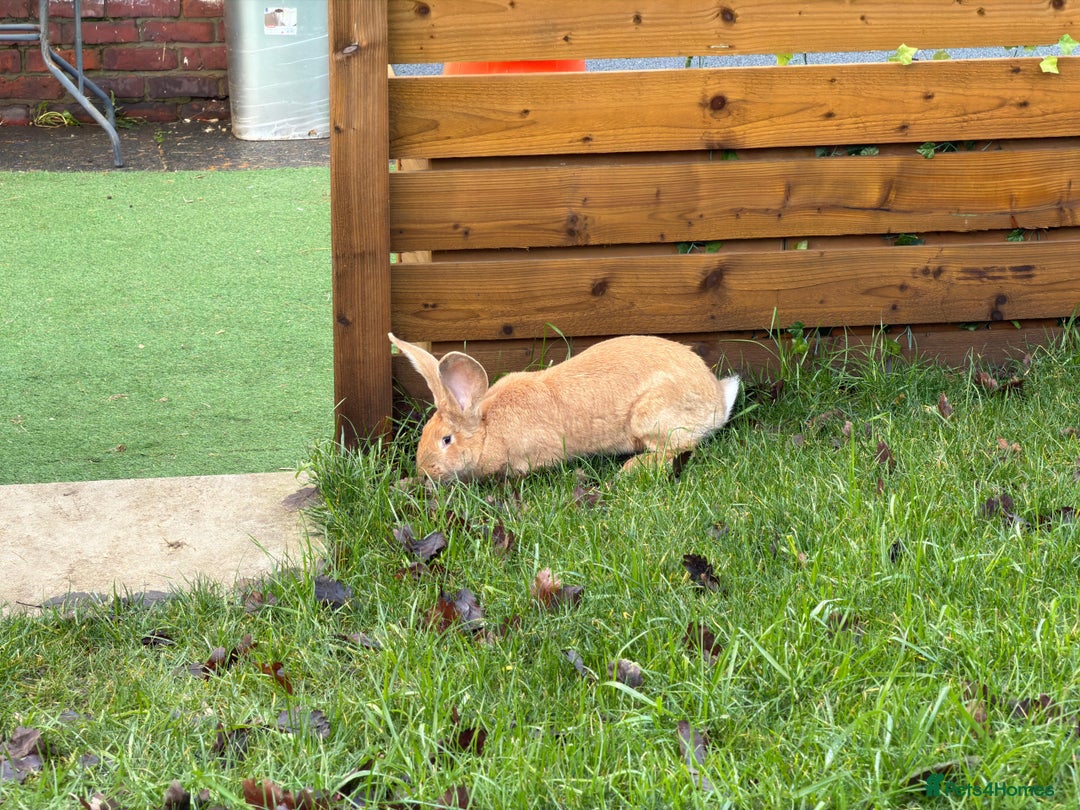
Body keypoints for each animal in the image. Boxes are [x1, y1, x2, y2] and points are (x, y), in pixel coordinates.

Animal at [389, 333, 740, 483]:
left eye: (446, 440)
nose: (424, 472)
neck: (489, 429)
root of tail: (718, 400)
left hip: (649, 417)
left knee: (680, 447)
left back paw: (630, 469)